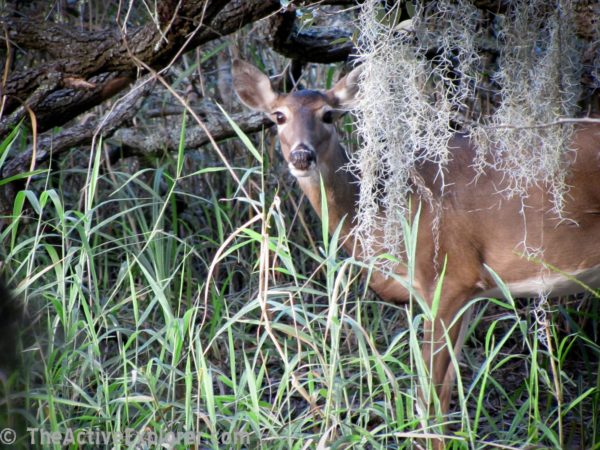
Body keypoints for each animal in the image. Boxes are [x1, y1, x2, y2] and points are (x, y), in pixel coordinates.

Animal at [232, 58, 600, 444]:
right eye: (278, 116)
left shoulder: (450, 278)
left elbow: (429, 403)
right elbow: (443, 394)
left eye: (328, 114)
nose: (302, 156)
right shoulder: (467, 293)